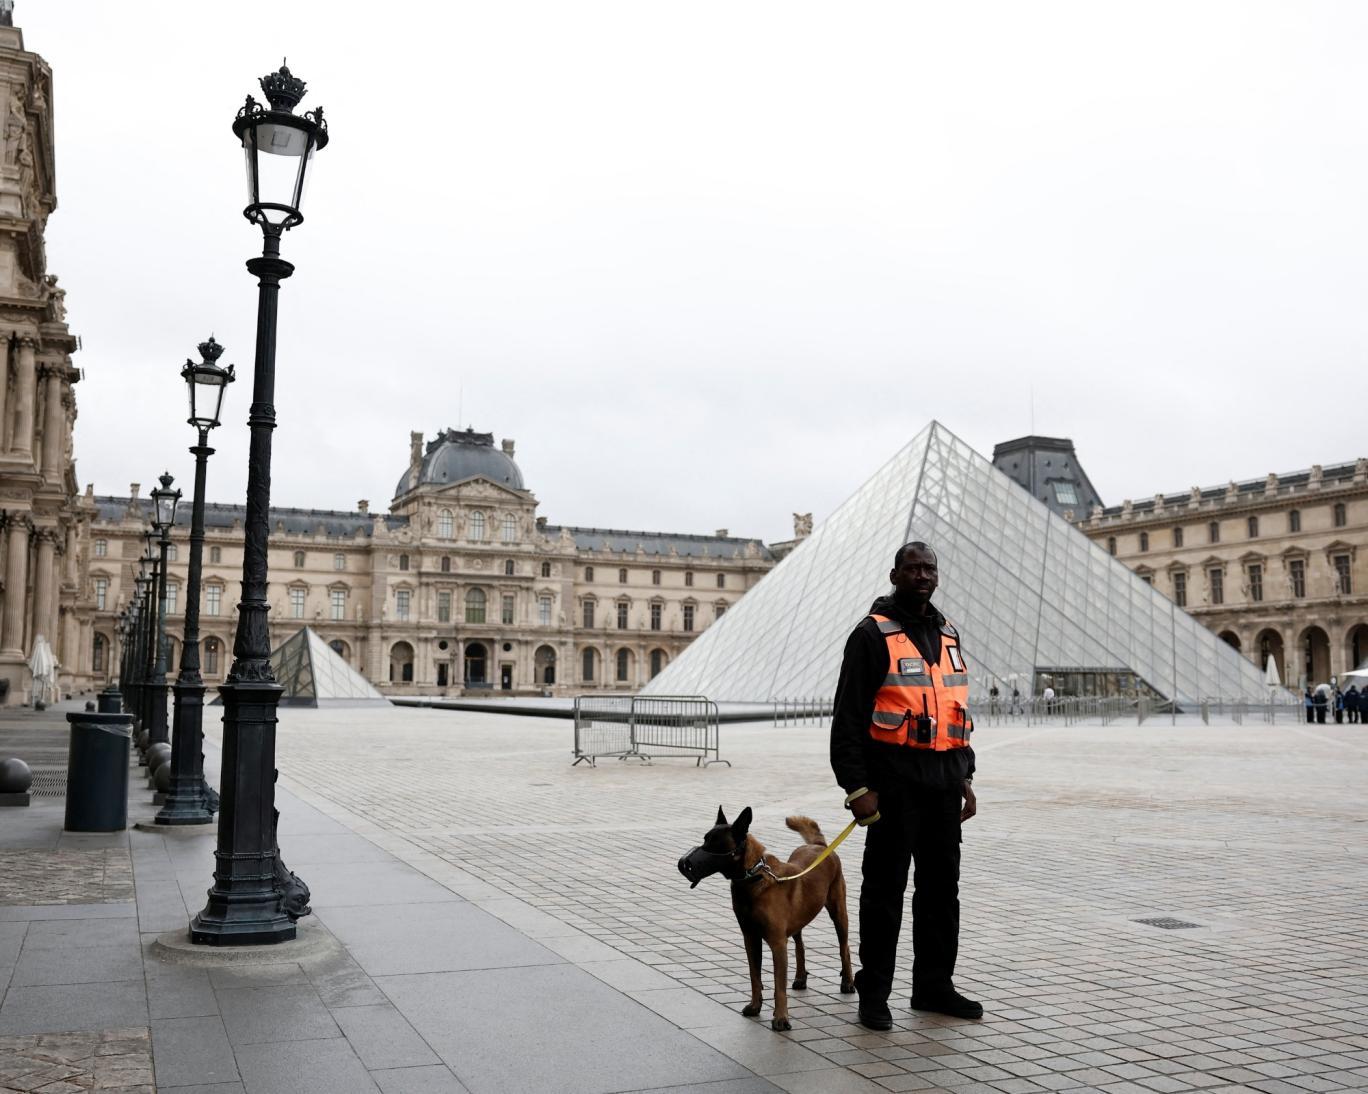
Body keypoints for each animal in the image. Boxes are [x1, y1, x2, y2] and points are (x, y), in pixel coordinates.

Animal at [678, 806, 855, 1030]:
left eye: (715, 843)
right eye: (704, 839)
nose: (683, 864)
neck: (753, 876)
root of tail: (819, 845)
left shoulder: (777, 943)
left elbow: (779, 985)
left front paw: (781, 1018)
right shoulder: (750, 939)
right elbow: (755, 976)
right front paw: (755, 1006)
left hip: (838, 912)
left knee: (844, 948)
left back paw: (847, 982)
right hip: (799, 921)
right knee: (800, 946)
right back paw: (800, 978)